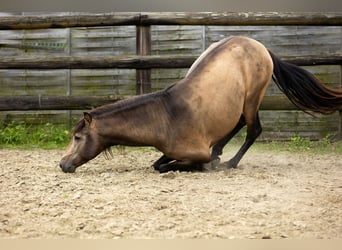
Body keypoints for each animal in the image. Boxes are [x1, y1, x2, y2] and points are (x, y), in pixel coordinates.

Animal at [59, 36, 342, 174]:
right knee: (239, 122)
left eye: (77, 137)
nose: (62, 164)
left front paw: (207, 165)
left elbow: (164, 167)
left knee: (253, 129)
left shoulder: (193, 152)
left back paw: (228, 162)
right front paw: (211, 156)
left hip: (253, 97)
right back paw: (218, 151)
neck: (165, 117)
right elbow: (159, 162)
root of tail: (260, 46)